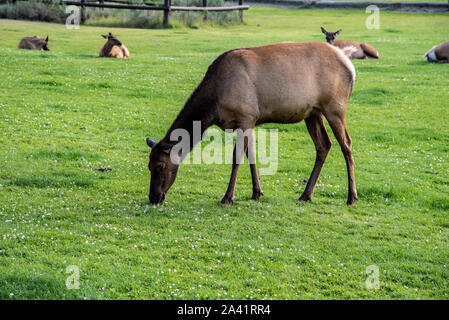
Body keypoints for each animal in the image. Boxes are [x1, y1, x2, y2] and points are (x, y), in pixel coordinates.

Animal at [146, 41, 356, 205]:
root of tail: (350, 66)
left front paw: (227, 197)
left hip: (335, 107)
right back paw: (306, 194)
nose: (154, 197)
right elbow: (252, 155)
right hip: (313, 113)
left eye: (160, 166)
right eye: (148, 166)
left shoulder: (245, 116)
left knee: (346, 144)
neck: (214, 103)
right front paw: (257, 193)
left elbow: (236, 157)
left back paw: (351, 197)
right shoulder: (250, 121)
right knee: (324, 145)